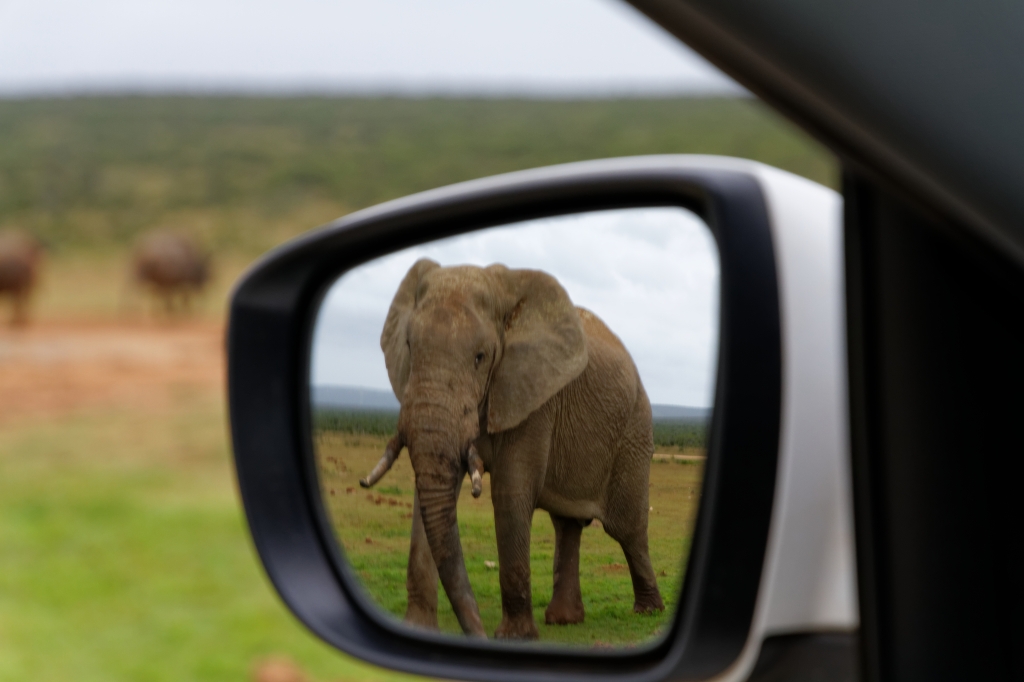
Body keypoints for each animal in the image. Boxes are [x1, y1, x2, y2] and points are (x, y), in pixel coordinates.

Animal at [360, 258, 664, 640]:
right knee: (568, 524)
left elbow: (511, 493)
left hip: (635, 431)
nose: (478, 635)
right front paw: (417, 628)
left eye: (480, 357)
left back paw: (648, 611)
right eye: (410, 348)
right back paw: (564, 620)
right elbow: (428, 495)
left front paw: (515, 637)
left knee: (627, 528)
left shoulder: (533, 395)